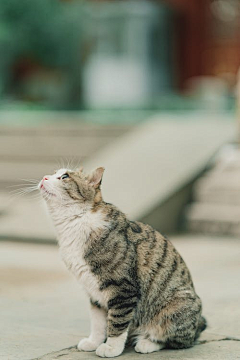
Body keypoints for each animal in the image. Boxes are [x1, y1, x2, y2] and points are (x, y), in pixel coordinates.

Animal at [39, 166, 206, 358]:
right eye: (54, 173)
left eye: (65, 176)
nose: (44, 177)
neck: (73, 223)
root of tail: (199, 323)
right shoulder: (94, 292)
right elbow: (98, 322)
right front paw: (94, 342)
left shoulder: (123, 290)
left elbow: (117, 322)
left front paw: (111, 347)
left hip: (176, 306)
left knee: (178, 340)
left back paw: (147, 343)